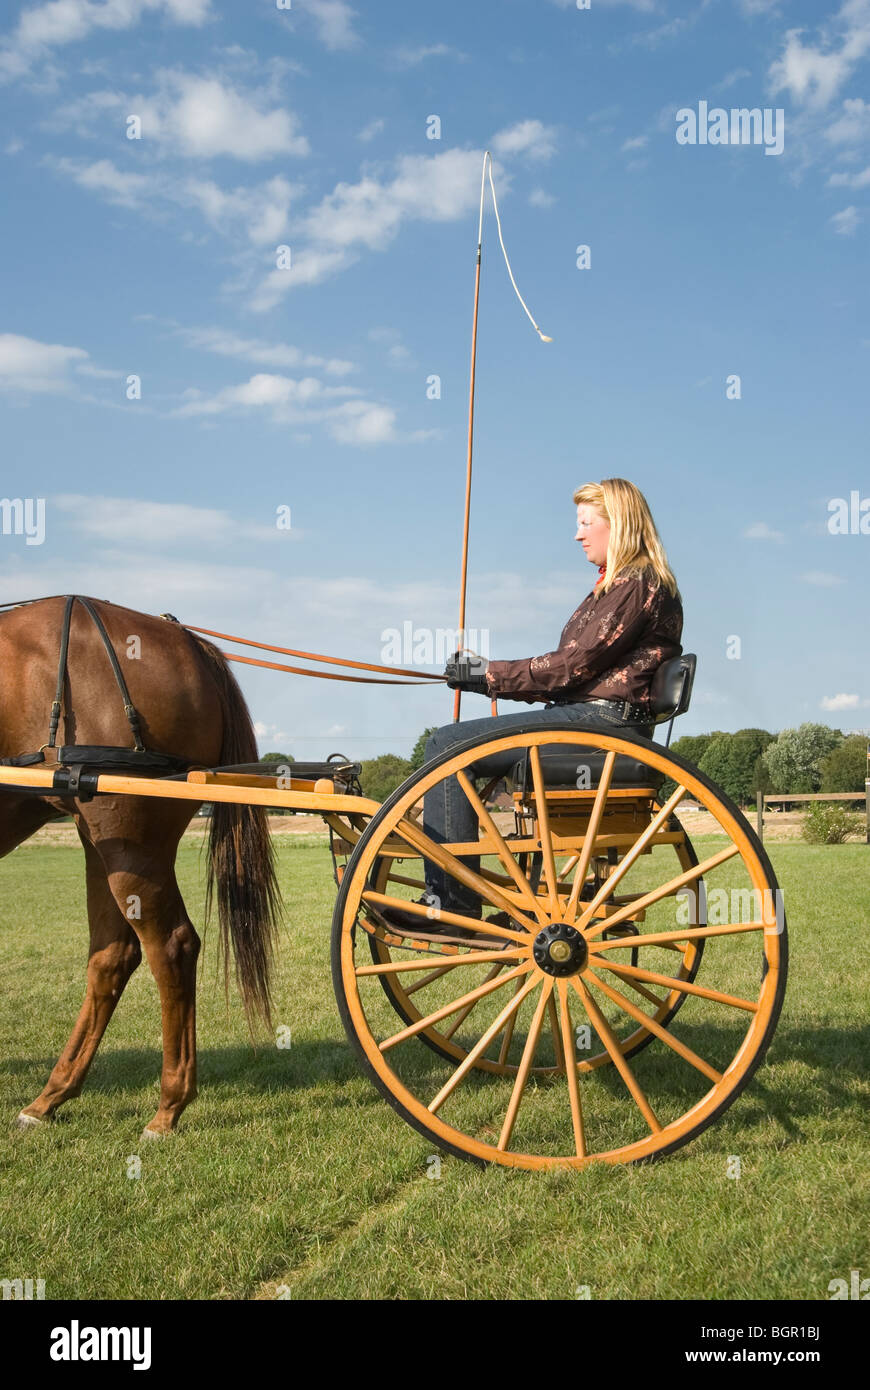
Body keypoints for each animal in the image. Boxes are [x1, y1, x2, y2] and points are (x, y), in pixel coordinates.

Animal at [0, 595, 280, 1137]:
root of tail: (187, 640)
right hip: (102, 837)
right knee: (112, 956)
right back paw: (51, 1096)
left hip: (129, 840)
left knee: (171, 945)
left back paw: (168, 1105)